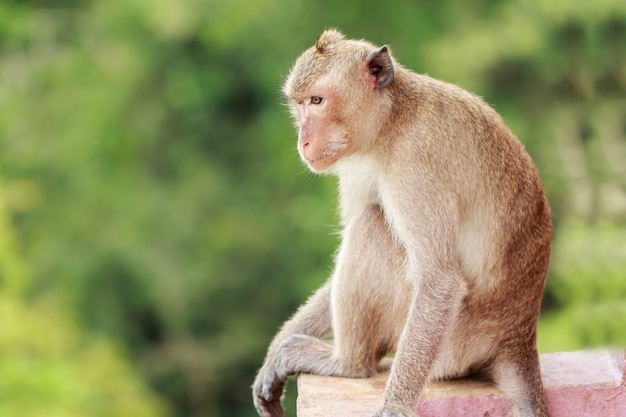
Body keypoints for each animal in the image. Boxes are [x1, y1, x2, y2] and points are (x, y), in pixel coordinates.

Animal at [251, 29, 548, 416]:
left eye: (317, 100)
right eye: (299, 104)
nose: (303, 141)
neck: (392, 119)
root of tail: (517, 338)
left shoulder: (413, 163)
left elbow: (438, 281)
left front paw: (394, 406)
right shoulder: (358, 163)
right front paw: (271, 356)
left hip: (453, 347)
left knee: (372, 226)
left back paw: (347, 363)